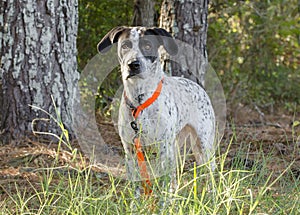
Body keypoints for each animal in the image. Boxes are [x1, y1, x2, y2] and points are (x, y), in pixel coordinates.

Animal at [97, 26, 214, 195]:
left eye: (147, 46)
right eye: (125, 45)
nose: (133, 64)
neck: (140, 102)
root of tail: (197, 85)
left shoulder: (163, 149)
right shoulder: (130, 150)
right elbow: (136, 185)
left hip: (203, 144)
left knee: (211, 173)